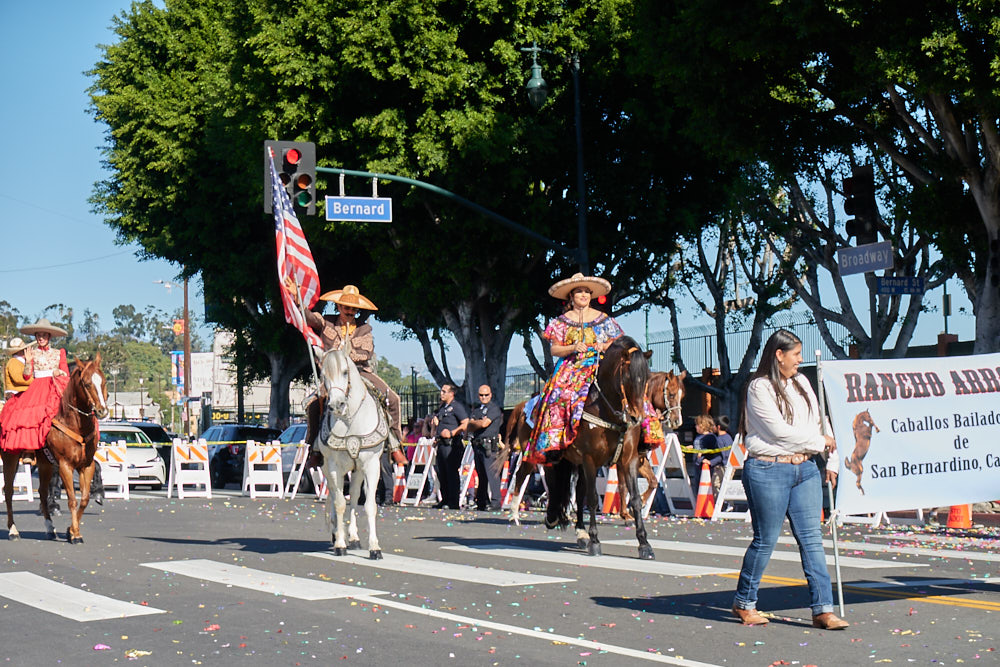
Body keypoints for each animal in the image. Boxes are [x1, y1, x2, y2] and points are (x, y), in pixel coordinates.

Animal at [3, 355, 109, 543]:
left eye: (103, 381)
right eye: (87, 383)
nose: (102, 411)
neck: (75, 424)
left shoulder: (85, 465)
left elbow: (84, 498)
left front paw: (71, 530)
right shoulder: (65, 465)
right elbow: (72, 499)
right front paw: (75, 535)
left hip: (45, 464)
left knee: (43, 492)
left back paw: (49, 527)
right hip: (10, 459)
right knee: (8, 492)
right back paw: (13, 530)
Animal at [315, 347, 389, 560]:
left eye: (345, 372)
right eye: (323, 376)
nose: (336, 405)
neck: (350, 419)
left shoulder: (371, 464)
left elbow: (369, 505)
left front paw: (374, 548)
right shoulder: (334, 466)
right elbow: (340, 502)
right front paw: (340, 544)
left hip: (357, 470)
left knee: (355, 496)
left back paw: (354, 538)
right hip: (329, 468)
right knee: (334, 495)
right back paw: (336, 534)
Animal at [545, 336, 654, 559]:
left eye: (647, 379)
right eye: (628, 378)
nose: (636, 418)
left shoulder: (629, 459)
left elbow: (635, 500)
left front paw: (644, 544)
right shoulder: (590, 459)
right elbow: (593, 499)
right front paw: (595, 541)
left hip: (578, 463)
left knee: (578, 493)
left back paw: (581, 533)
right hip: (557, 459)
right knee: (554, 484)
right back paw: (553, 518)